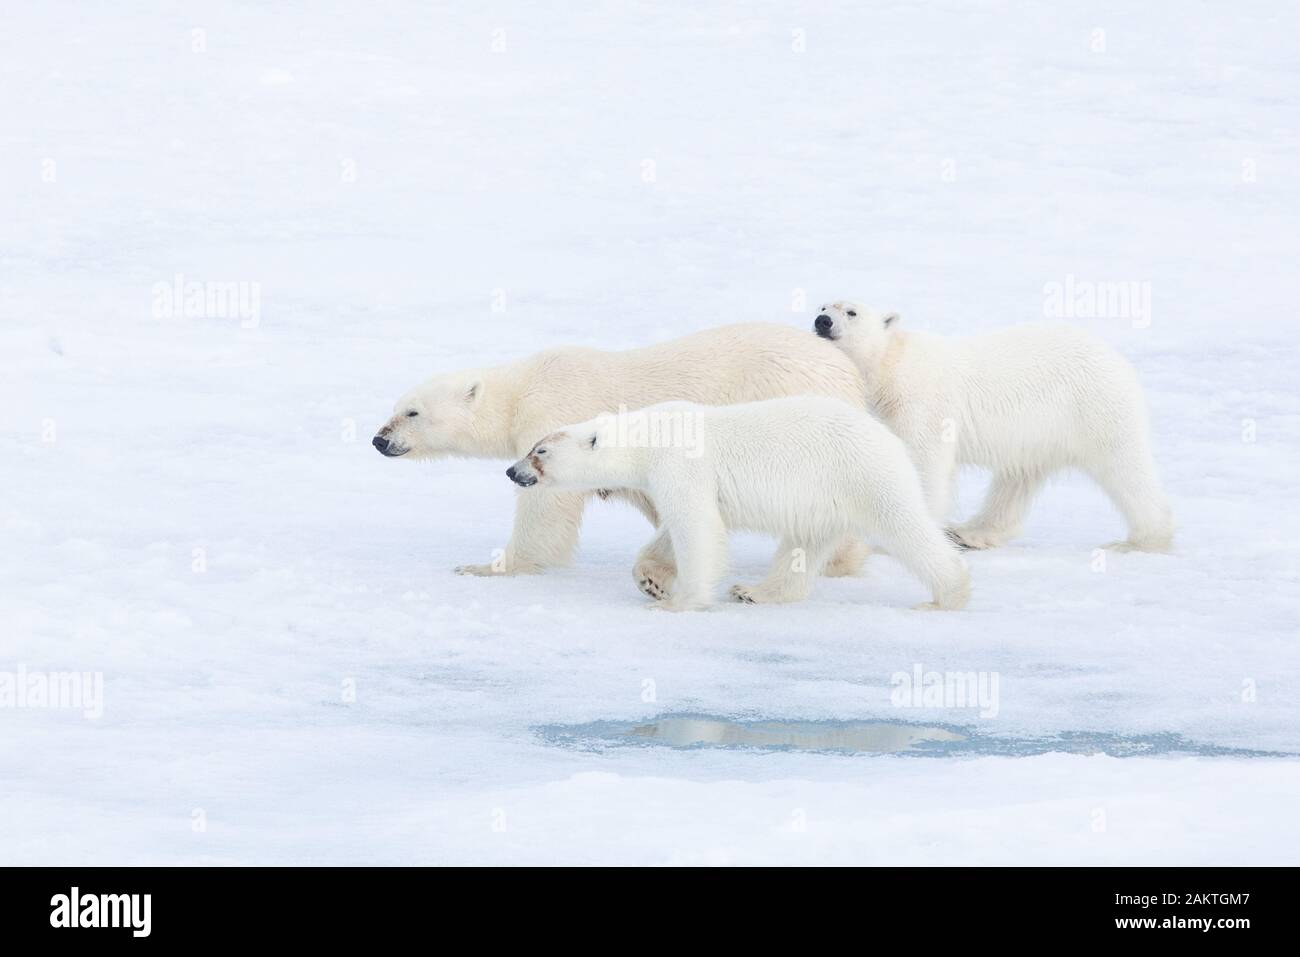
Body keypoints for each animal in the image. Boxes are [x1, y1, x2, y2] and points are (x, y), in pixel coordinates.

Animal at [373, 323, 871, 598]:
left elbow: (546, 506)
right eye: (394, 407)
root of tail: (849, 374)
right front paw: (657, 575)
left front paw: (488, 566)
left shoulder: (556, 412)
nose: (379, 440)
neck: (521, 390)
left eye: (411, 412)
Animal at [505, 397, 972, 613]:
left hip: (861, 474)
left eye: (539, 451)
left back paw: (947, 595)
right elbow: (678, 529)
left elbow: (696, 526)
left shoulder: (680, 464)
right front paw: (651, 580)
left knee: (905, 526)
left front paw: (676, 602)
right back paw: (754, 591)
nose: (512, 471)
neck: (651, 435)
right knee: (804, 544)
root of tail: (890, 438)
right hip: (824, 498)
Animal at [813, 302, 1175, 552]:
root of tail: (1121, 362)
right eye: (822, 305)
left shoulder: (923, 402)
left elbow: (926, 463)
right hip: (1041, 433)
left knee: (1124, 467)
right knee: (1016, 479)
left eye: (851, 311)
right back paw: (972, 532)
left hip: (1093, 408)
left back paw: (1141, 540)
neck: (890, 365)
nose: (822, 321)